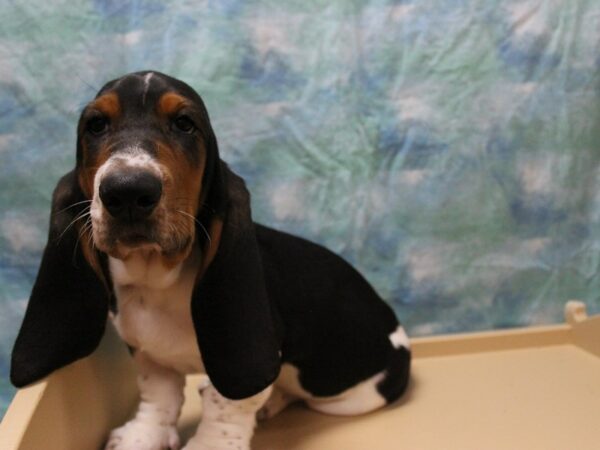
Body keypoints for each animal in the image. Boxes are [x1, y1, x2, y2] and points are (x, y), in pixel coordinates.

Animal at [10, 72, 412, 448]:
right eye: (96, 125)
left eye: (184, 123)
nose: (127, 191)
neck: (157, 278)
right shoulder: (147, 353)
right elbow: (159, 393)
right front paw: (143, 435)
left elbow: (228, 403)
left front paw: (210, 443)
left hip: (348, 398)